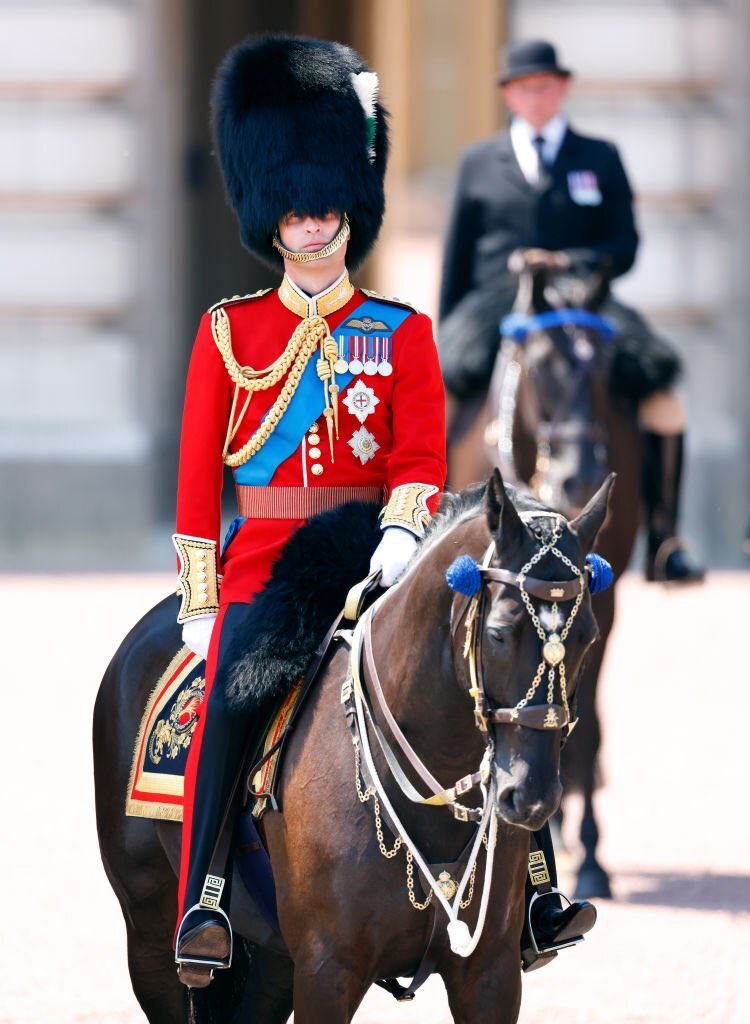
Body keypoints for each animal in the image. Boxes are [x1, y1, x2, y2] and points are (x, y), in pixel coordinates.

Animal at [93, 473, 610, 1024]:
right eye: (497, 634)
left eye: (588, 636)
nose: (532, 795)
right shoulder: (327, 970)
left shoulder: (491, 974)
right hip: (150, 934)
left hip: (275, 956)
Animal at [448, 253, 643, 897]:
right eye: (538, 364)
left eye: (605, 366)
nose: (581, 476)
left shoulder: (603, 604)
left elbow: (584, 729)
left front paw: (589, 853)